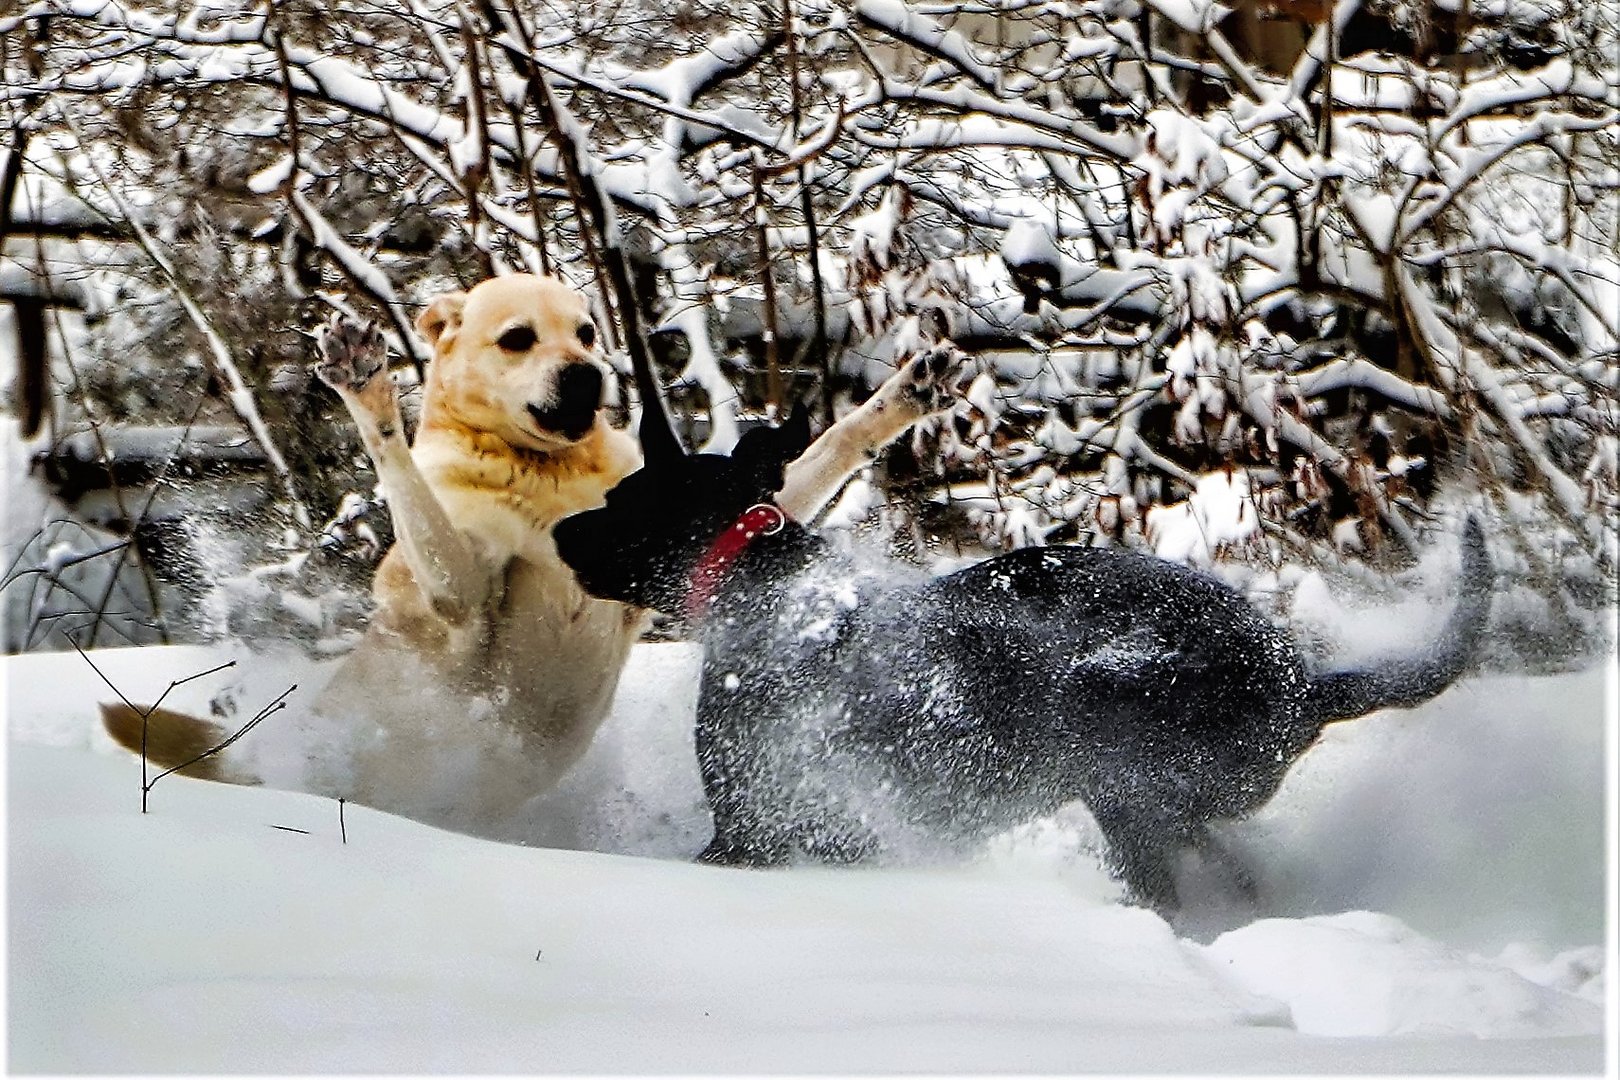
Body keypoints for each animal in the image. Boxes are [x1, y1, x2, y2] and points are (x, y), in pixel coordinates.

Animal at [557, 401, 1490, 906]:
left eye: (621, 498)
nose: (563, 532)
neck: (765, 585)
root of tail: (1306, 685)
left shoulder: (752, 832)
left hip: (1119, 758)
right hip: (1172, 808)